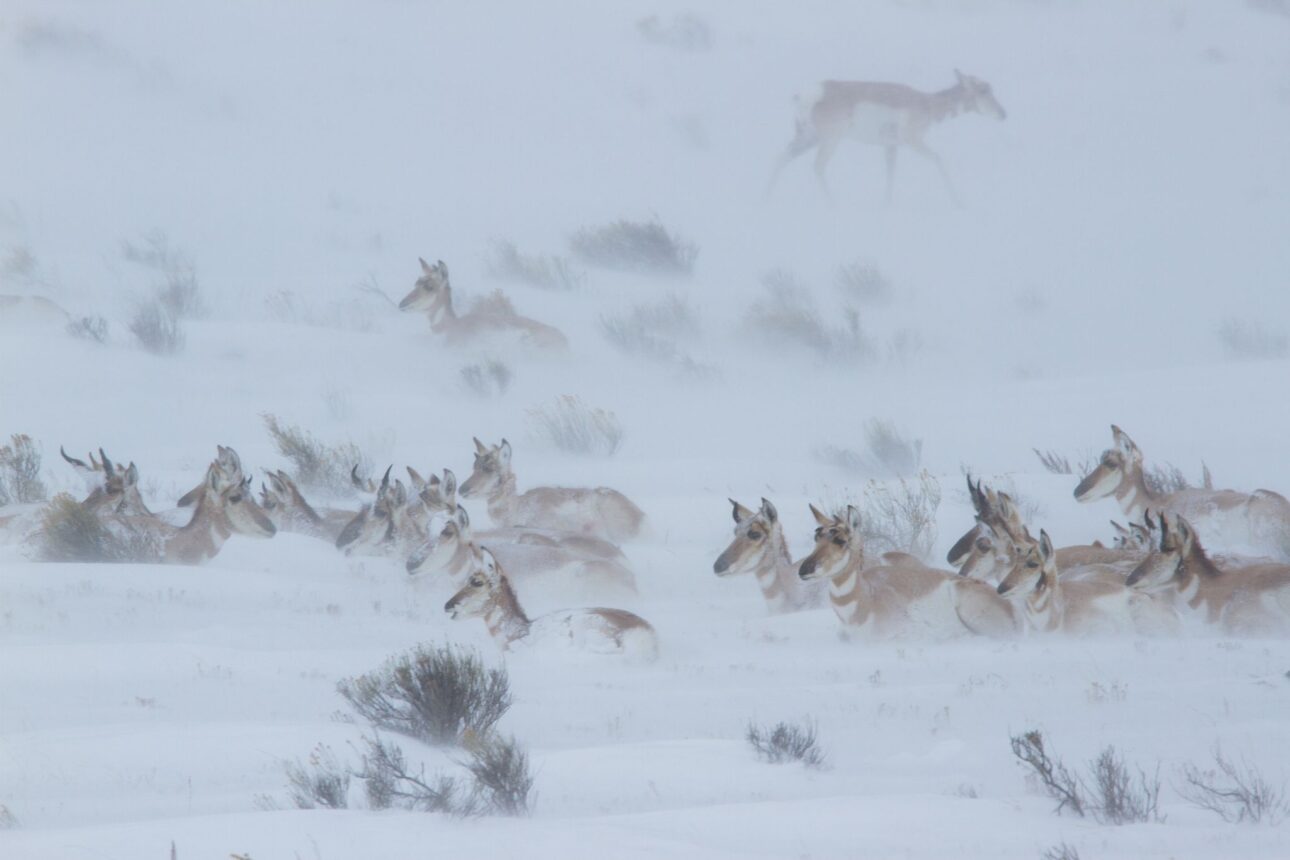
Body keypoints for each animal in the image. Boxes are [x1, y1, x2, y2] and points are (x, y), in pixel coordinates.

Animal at [767, 70, 1006, 203]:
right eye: (984, 90)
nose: (1003, 113)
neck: (927, 103)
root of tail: (806, 94)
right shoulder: (912, 141)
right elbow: (939, 160)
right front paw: (958, 201)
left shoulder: (891, 146)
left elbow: (890, 174)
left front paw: (887, 204)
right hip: (830, 140)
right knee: (817, 166)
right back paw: (833, 204)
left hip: (808, 138)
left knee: (781, 157)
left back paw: (766, 198)